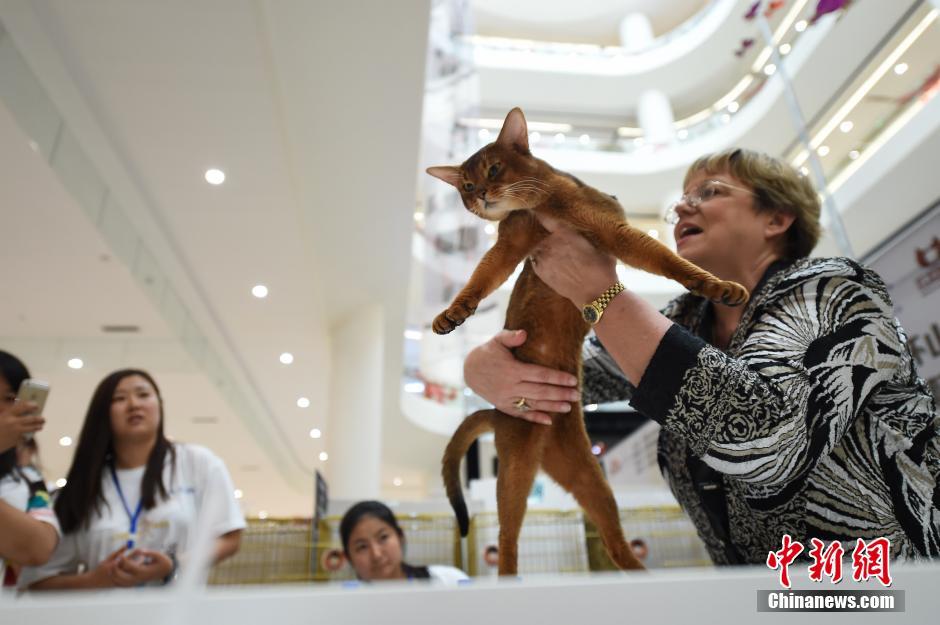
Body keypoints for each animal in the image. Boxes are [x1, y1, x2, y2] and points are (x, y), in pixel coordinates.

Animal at [428, 107, 748, 576]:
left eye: (493, 169)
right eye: (465, 186)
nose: (481, 195)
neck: (543, 204)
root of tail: (502, 414)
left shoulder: (610, 232)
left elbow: (667, 259)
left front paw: (718, 285)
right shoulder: (514, 240)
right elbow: (481, 277)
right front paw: (451, 313)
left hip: (588, 474)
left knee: (614, 542)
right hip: (517, 464)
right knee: (507, 540)